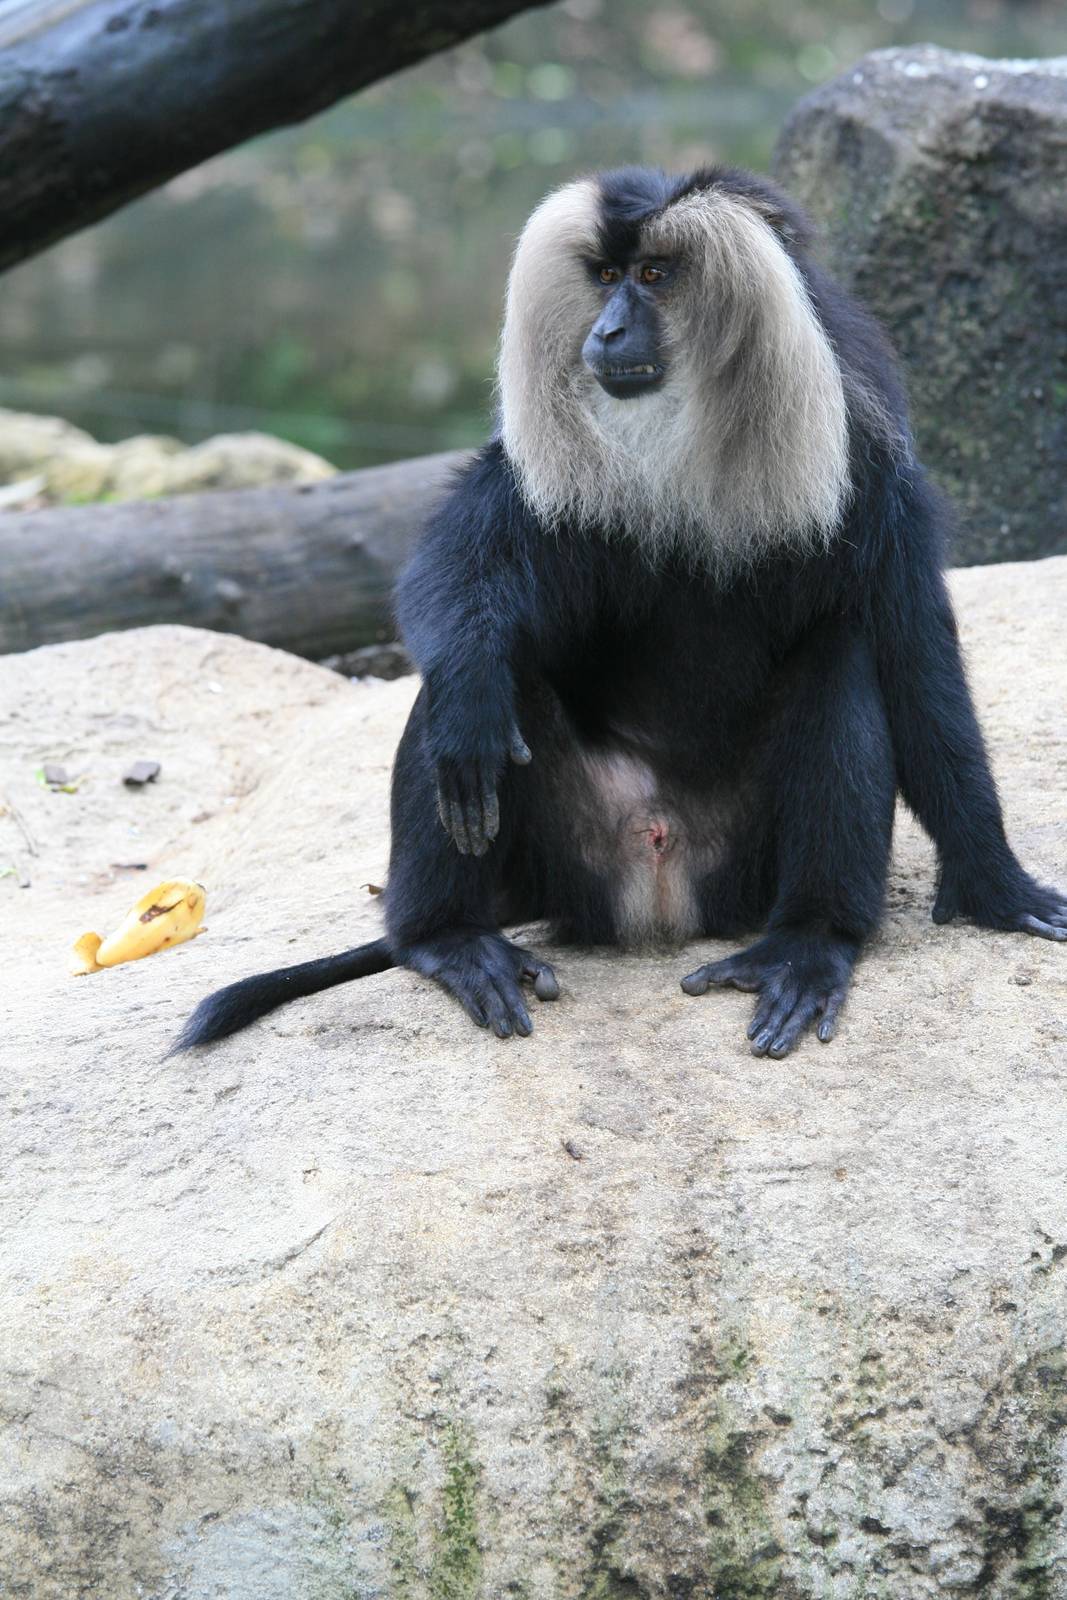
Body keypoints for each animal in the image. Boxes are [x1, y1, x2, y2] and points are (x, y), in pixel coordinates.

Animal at [174, 165, 1066, 1060]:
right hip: (567, 858)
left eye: (654, 275)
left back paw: (808, 944)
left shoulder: (867, 448)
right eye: (604, 277)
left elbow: (913, 653)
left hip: (736, 867)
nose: (605, 331)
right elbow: (457, 567)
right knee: (479, 697)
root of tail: (658, 880)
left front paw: (995, 886)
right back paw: (447, 936)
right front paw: (466, 703)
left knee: (840, 658)